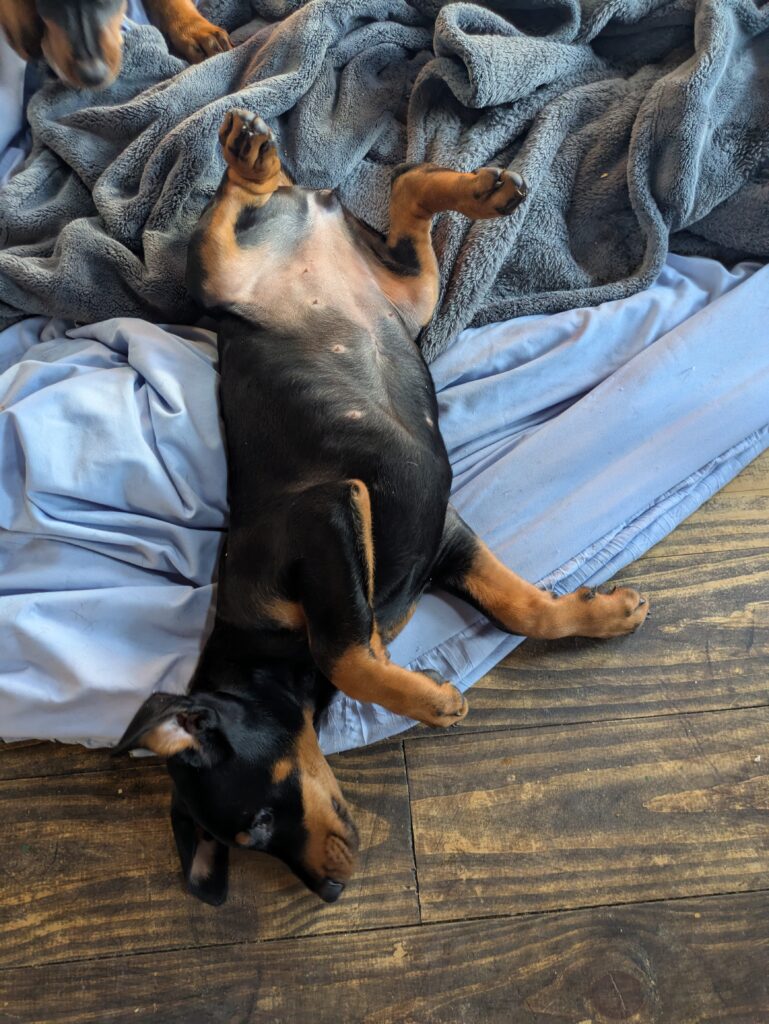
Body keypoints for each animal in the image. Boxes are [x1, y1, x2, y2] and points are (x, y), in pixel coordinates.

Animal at [114, 109, 649, 907]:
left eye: (257, 828)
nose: (330, 891)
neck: (259, 653)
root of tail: (304, 219)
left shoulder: (333, 509)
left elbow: (341, 653)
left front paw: (429, 702)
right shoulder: (441, 535)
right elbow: (520, 609)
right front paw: (604, 613)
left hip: (222, 284)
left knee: (227, 224)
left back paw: (249, 157)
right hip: (409, 295)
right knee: (405, 202)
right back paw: (477, 189)